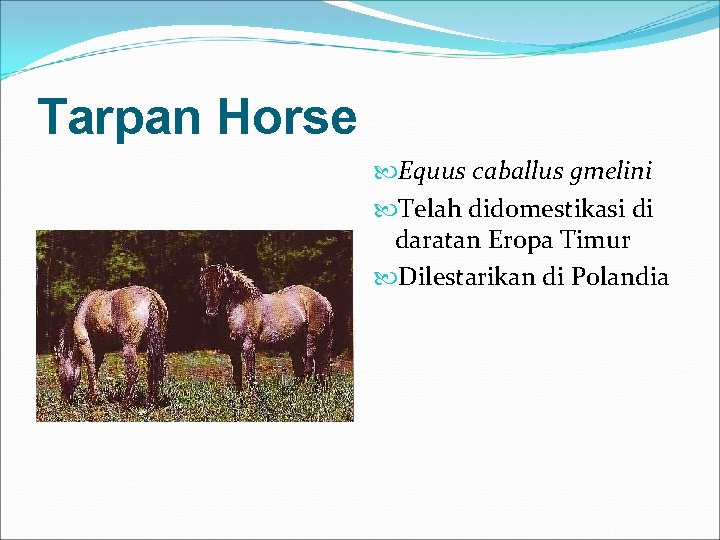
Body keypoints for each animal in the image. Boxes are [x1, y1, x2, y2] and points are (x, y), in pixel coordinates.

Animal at [199, 264, 334, 389]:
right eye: (203, 285)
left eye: (222, 285)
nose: (211, 312)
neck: (241, 307)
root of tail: (324, 300)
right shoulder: (232, 348)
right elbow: (237, 375)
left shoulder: (248, 345)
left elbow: (250, 374)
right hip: (295, 345)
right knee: (306, 371)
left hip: (310, 342)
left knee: (309, 369)